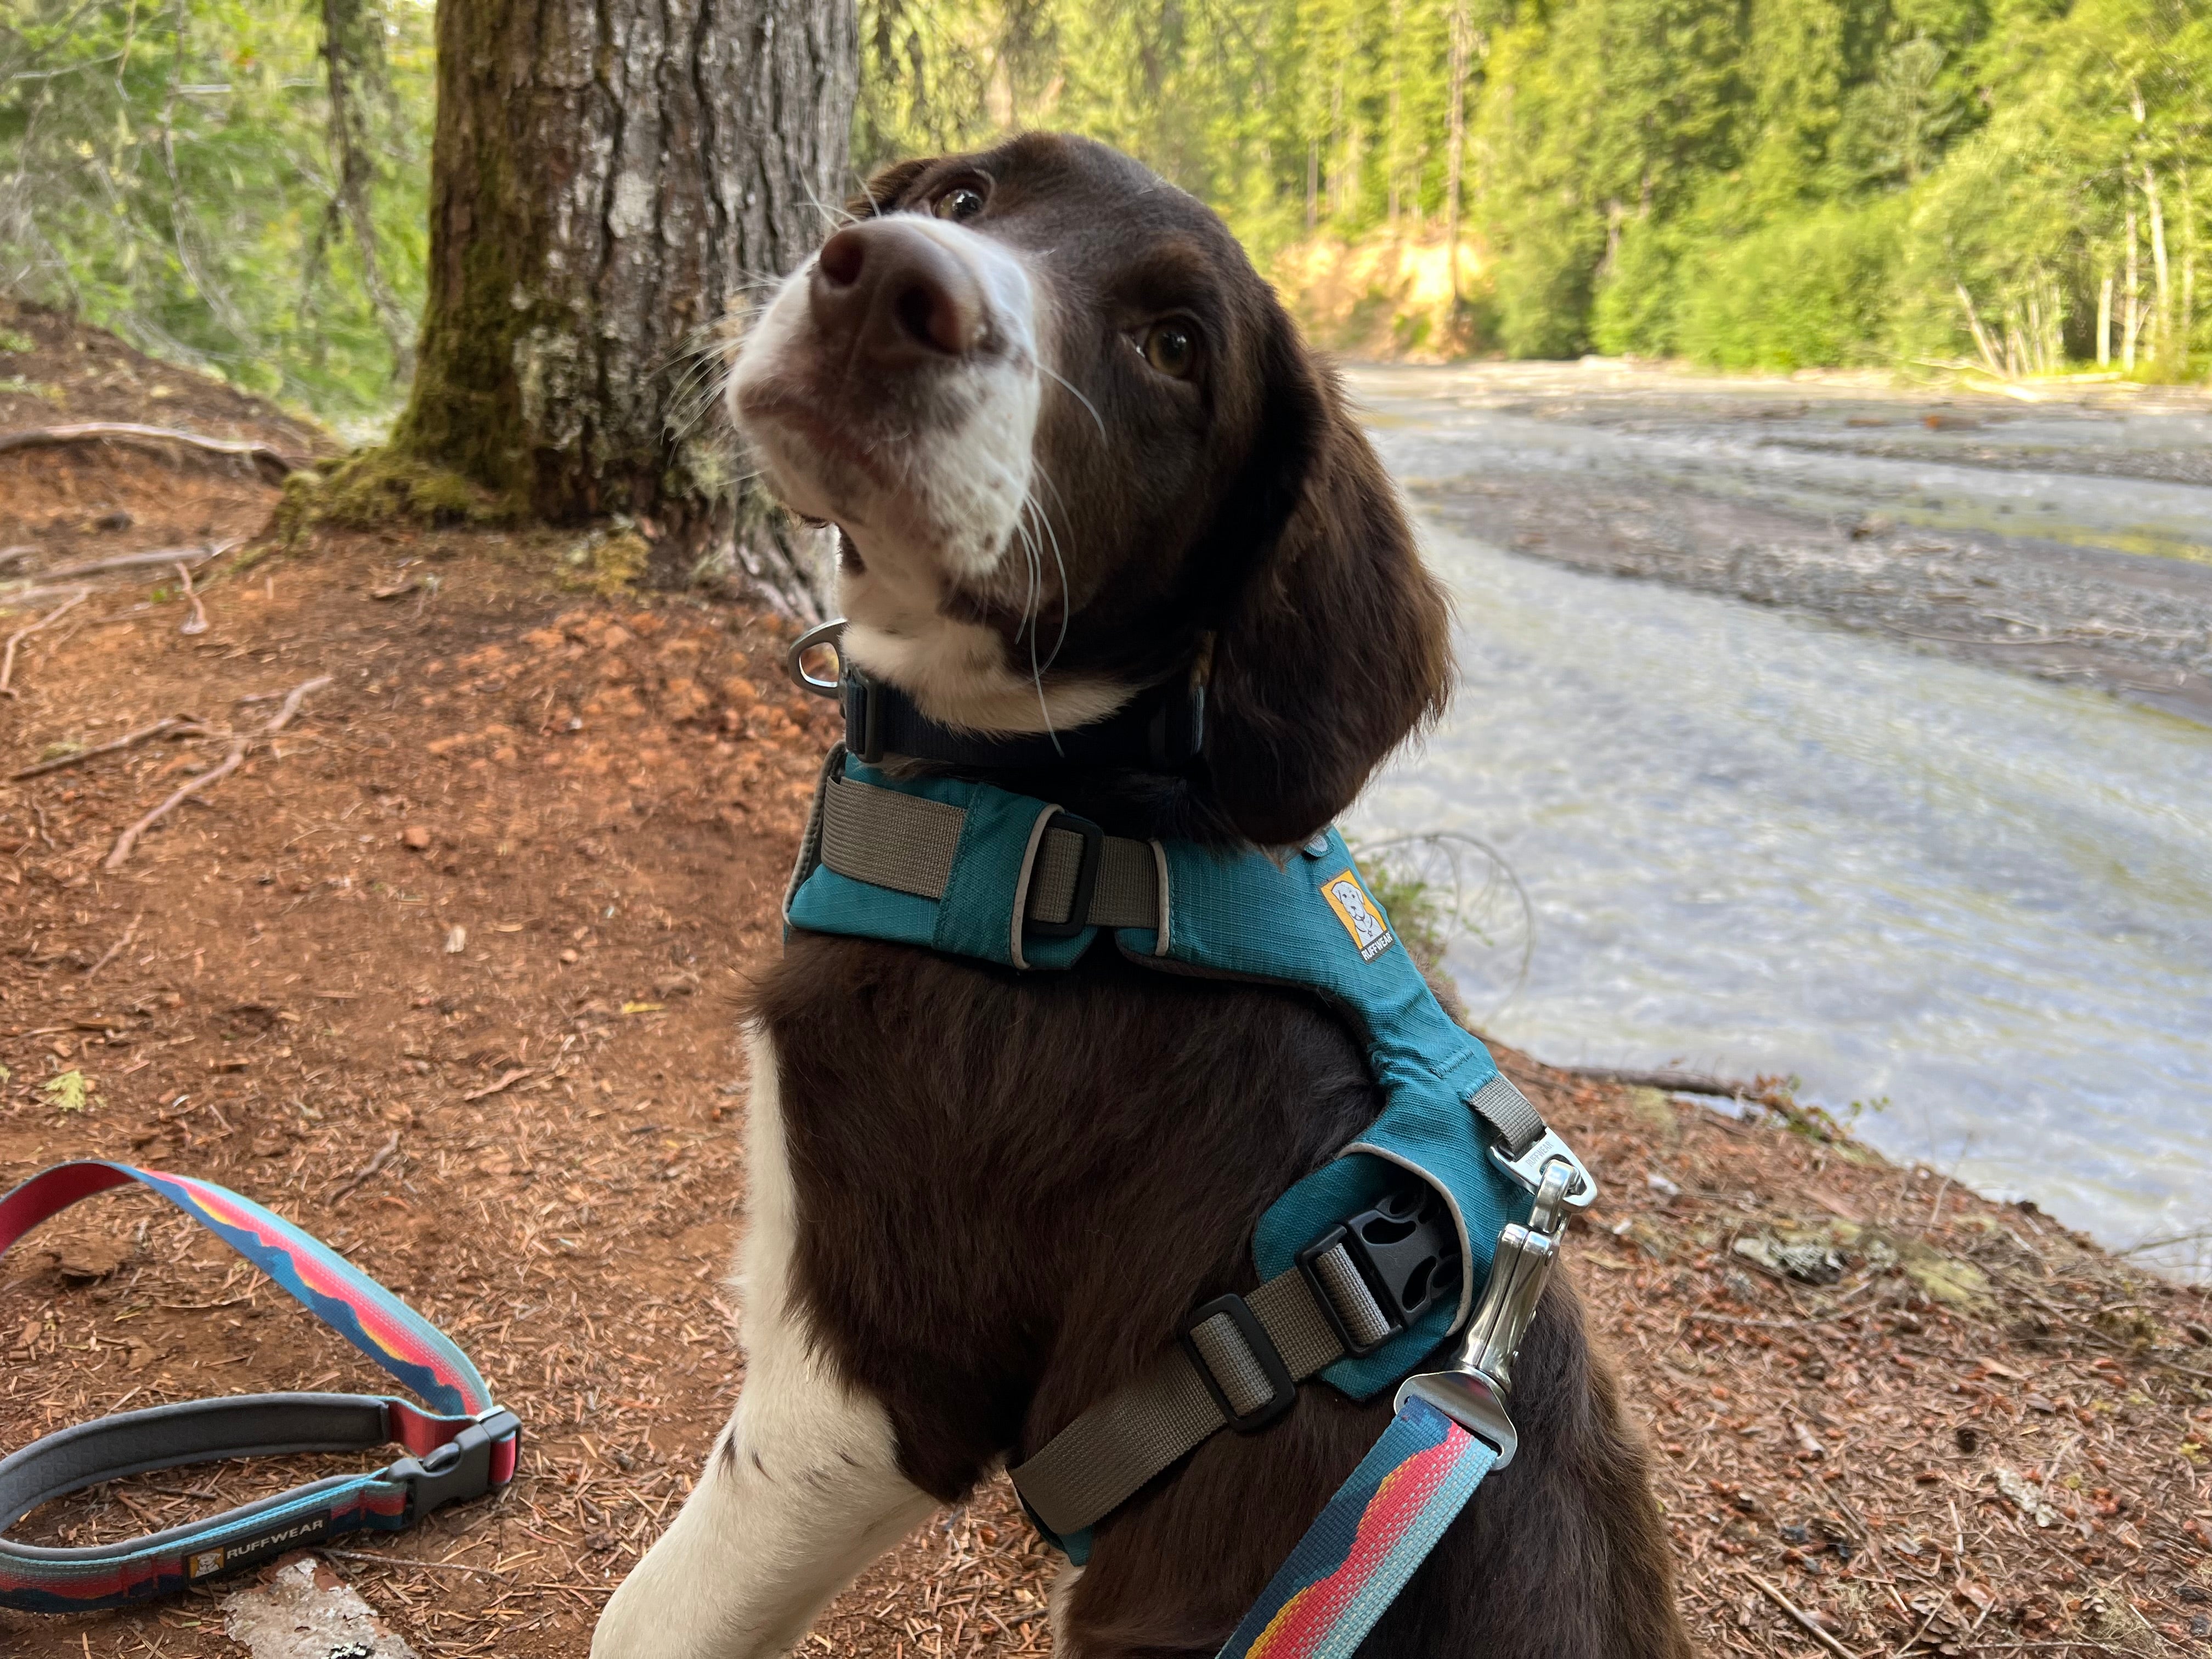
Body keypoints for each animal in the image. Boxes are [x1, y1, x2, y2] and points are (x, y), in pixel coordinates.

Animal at [592, 133, 1690, 1659]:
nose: (887, 283)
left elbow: (645, 1612)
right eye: (967, 199)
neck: (1067, 831)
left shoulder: (871, 1383)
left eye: (1174, 349)